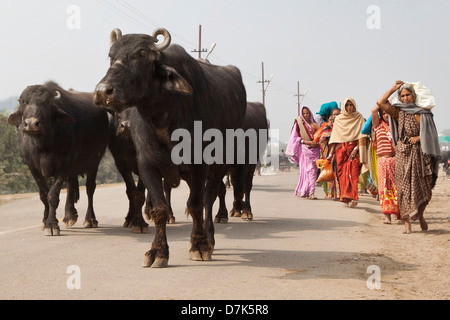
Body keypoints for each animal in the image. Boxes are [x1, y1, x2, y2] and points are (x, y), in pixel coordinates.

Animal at [8, 81, 109, 236]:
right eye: (24, 102)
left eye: (47, 102)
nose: (31, 124)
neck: (42, 144)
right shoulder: (32, 166)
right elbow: (44, 194)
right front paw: (45, 221)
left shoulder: (64, 163)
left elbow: (53, 195)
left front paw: (52, 225)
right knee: (71, 184)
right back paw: (69, 215)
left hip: (95, 161)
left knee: (90, 188)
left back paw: (90, 220)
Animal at [94, 27, 246, 268]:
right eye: (111, 56)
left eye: (141, 54)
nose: (103, 91)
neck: (164, 119)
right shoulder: (147, 165)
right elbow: (159, 208)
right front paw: (158, 251)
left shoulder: (200, 165)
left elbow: (196, 205)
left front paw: (199, 246)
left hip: (221, 163)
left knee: (210, 197)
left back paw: (210, 238)